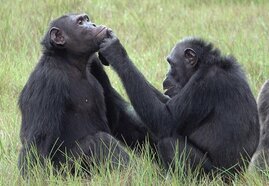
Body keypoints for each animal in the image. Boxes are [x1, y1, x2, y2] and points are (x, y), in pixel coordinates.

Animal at [18, 13, 147, 176]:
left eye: (86, 19)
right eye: (80, 22)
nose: (92, 24)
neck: (70, 62)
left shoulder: (95, 65)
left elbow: (119, 116)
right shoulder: (47, 81)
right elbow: (38, 141)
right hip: (65, 171)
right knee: (100, 141)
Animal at [99, 32, 260, 176]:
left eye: (171, 64)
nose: (166, 75)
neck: (203, 65)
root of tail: (239, 176)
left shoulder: (205, 84)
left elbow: (165, 119)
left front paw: (115, 52)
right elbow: (166, 104)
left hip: (213, 176)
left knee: (168, 143)